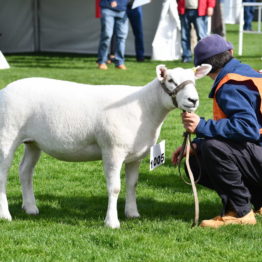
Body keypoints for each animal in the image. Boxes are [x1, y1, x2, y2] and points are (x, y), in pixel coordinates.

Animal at [0, 63, 211, 227]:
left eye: (194, 80)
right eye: (170, 80)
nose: (193, 100)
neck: (145, 107)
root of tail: (5, 90)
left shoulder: (136, 155)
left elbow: (132, 184)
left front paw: (132, 213)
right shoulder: (112, 151)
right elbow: (115, 187)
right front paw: (112, 222)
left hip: (33, 142)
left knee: (25, 170)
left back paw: (30, 208)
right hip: (7, 135)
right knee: (3, 174)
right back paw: (5, 215)